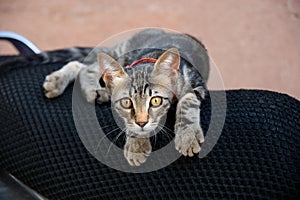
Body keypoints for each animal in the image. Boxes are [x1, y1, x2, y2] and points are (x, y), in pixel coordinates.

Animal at [43, 28, 210, 166]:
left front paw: (188, 136)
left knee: (83, 66)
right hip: (119, 56)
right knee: (85, 67)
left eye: (155, 101)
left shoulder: (196, 86)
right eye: (127, 103)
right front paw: (137, 145)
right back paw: (61, 82)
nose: (142, 123)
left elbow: (187, 103)